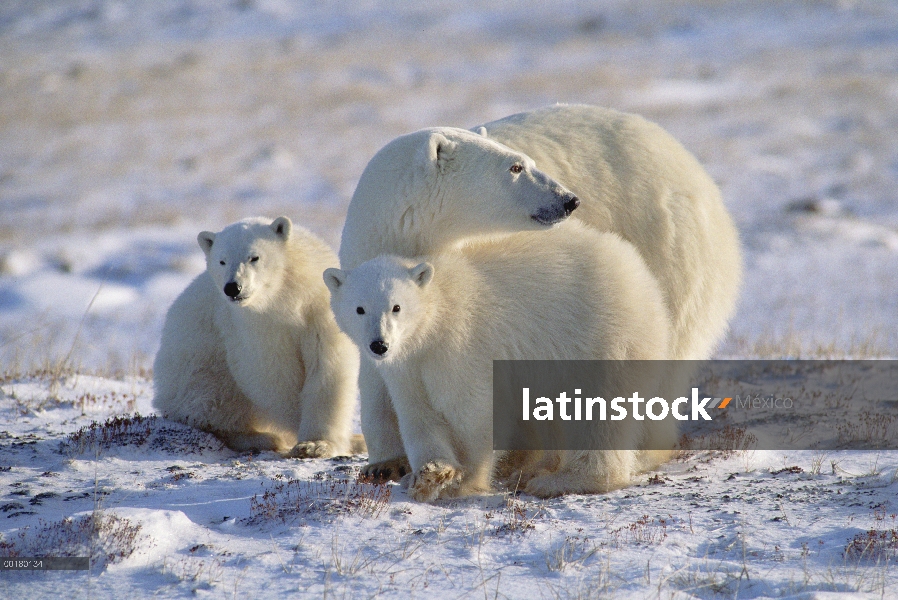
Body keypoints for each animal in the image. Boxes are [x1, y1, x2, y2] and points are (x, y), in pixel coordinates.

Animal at [152, 218, 358, 458]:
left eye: (254, 257)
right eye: (222, 261)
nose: (233, 287)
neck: (283, 297)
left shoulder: (318, 310)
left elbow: (328, 369)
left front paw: (316, 445)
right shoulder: (249, 326)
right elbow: (271, 375)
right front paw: (302, 434)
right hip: (195, 368)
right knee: (214, 400)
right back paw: (261, 438)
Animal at [324, 221, 672, 502]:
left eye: (396, 307)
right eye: (359, 308)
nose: (379, 345)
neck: (435, 319)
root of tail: (640, 275)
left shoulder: (461, 346)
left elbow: (472, 411)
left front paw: (461, 481)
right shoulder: (407, 367)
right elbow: (418, 415)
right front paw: (428, 475)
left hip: (598, 336)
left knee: (597, 410)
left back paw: (560, 480)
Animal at [340, 103, 740, 478]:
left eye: (524, 161)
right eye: (515, 167)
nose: (569, 200)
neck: (409, 230)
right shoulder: (368, 259)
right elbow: (378, 372)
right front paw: (385, 463)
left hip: (667, 246)